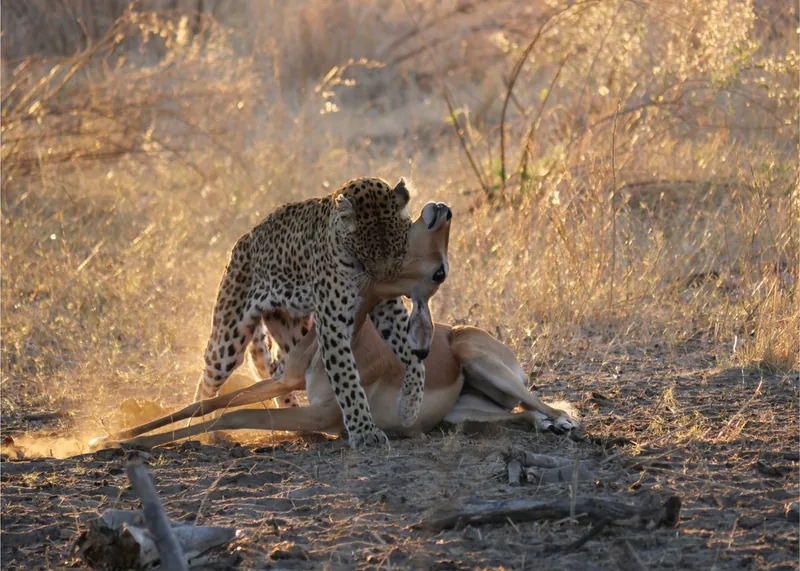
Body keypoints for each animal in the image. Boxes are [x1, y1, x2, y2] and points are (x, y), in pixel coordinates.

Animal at [195, 177, 428, 449]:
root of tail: (243, 238)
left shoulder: (387, 307)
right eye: (367, 254)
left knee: (280, 368)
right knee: (208, 378)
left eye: (400, 250)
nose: (386, 280)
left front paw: (410, 404)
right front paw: (364, 431)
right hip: (228, 340)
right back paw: (204, 431)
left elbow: (411, 353)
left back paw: (293, 420)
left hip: (294, 330)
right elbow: (347, 379)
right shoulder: (332, 322)